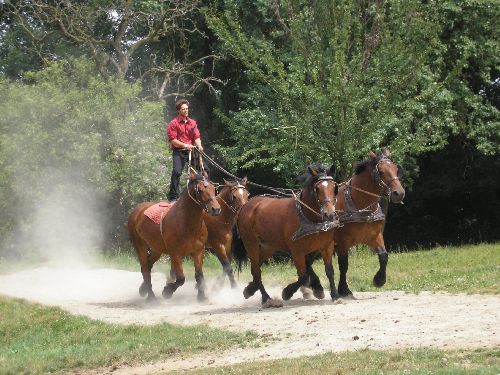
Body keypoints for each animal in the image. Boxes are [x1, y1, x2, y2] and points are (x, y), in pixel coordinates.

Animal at [129, 171, 221, 302]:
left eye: (214, 189)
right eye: (200, 190)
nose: (216, 209)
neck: (187, 223)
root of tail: (137, 210)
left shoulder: (198, 251)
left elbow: (199, 275)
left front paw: (202, 296)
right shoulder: (175, 254)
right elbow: (181, 278)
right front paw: (167, 291)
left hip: (156, 249)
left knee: (147, 266)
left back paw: (143, 290)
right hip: (140, 246)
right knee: (146, 269)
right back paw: (151, 297)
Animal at [232, 165, 338, 308]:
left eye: (334, 187)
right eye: (317, 189)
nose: (329, 214)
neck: (309, 218)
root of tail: (244, 206)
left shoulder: (326, 246)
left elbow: (329, 271)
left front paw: (334, 295)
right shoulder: (297, 251)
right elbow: (303, 276)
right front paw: (287, 292)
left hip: (267, 247)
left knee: (256, 268)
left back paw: (249, 290)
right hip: (251, 243)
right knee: (256, 271)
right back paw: (266, 298)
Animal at [330, 148, 404, 298]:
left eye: (396, 169)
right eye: (380, 171)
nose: (399, 193)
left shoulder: (374, 237)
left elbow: (383, 256)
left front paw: (379, 280)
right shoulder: (343, 241)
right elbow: (343, 264)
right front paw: (344, 289)